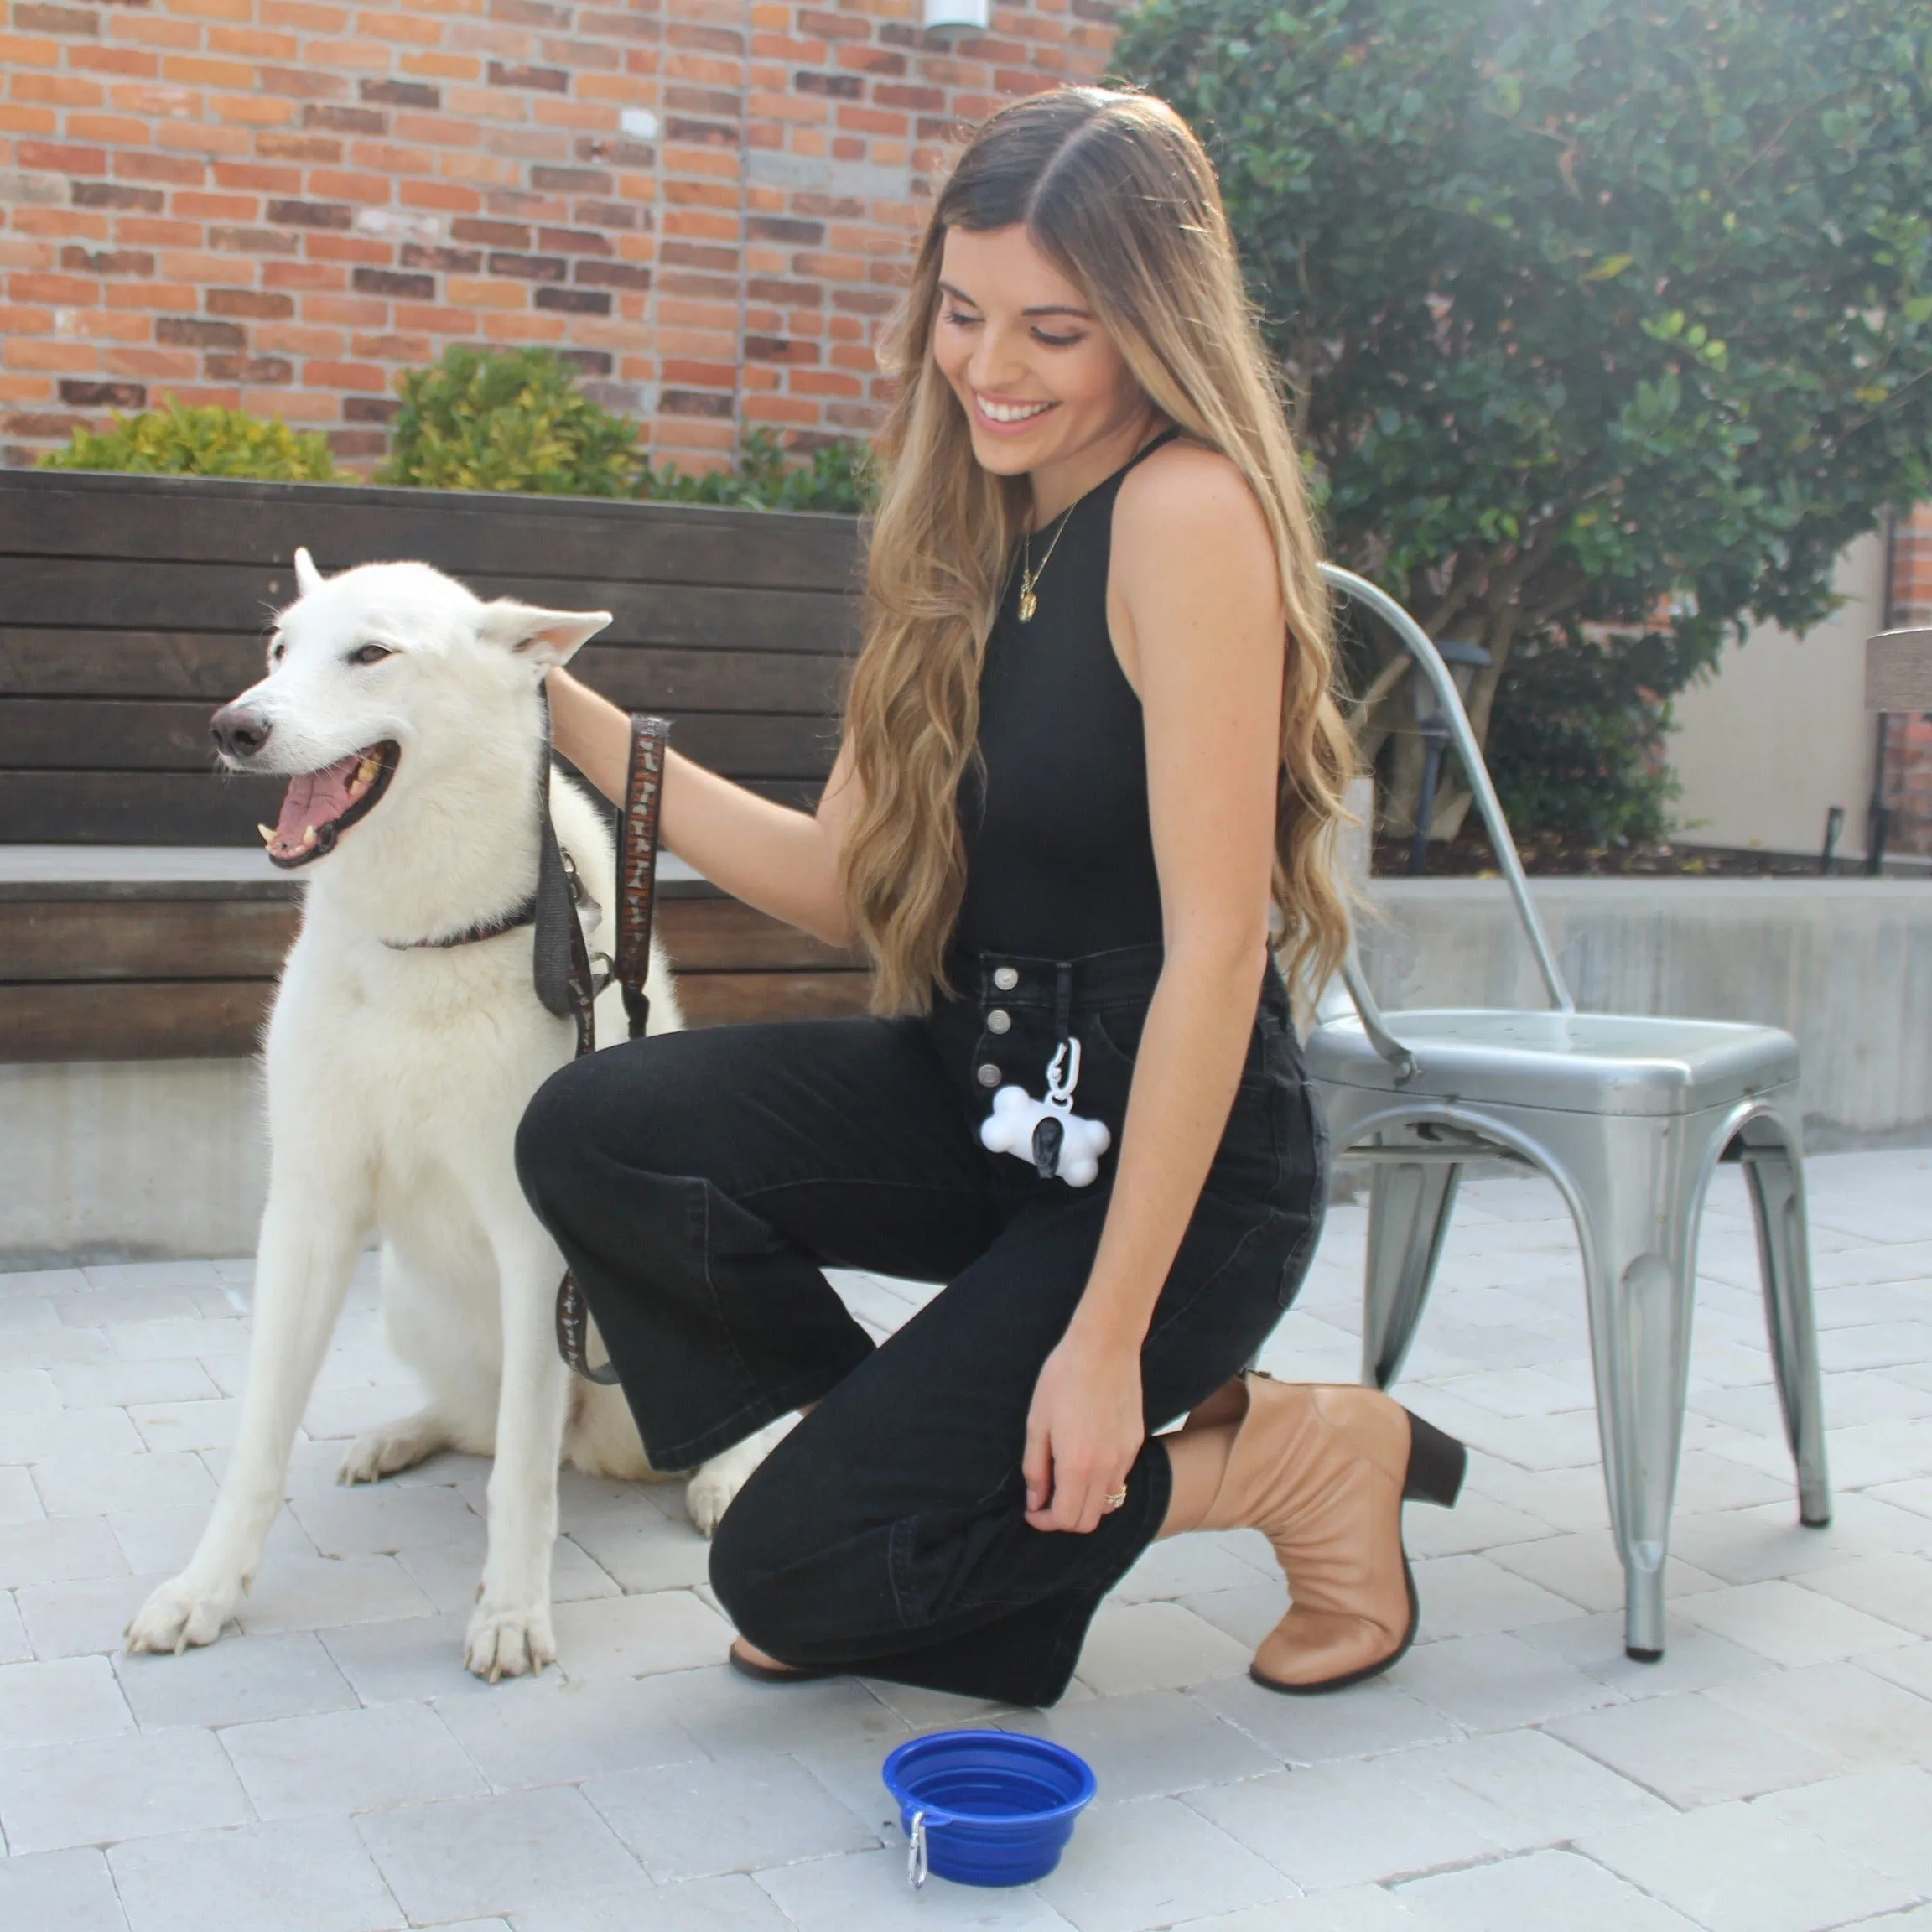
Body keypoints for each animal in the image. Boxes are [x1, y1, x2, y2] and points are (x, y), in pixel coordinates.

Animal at [124, 544, 776, 1676]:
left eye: (372, 654)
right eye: (279, 650)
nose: (232, 728)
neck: (426, 933)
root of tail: (602, 1442)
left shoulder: (532, 1239)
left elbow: (520, 1476)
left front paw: (511, 1611)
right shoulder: (307, 1213)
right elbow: (258, 1442)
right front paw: (204, 1591)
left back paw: (725, 1478)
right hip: (411, 1303)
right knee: (478, 1420)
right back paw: (403, 1433)